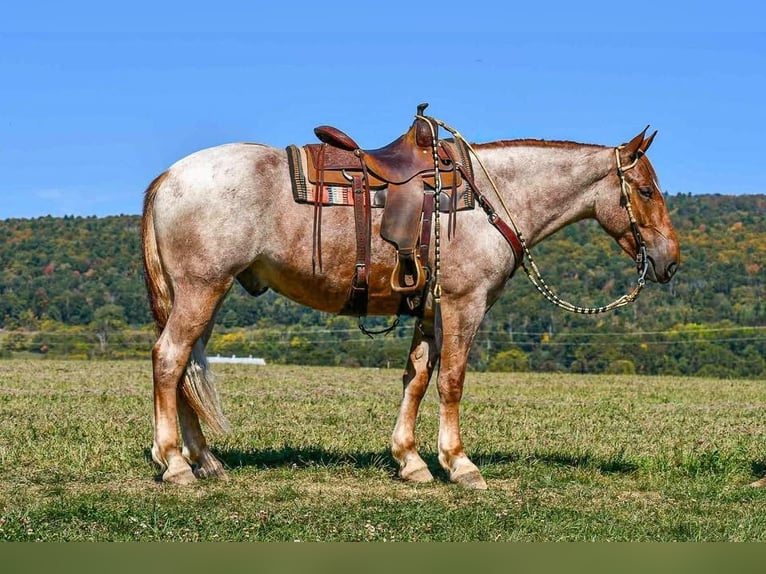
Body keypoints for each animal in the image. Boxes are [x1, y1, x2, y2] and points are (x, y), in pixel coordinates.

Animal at [141, 116, 680, 489]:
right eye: (645, 190)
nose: (669, 261)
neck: (488, 201)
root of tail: (169, 176)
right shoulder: (465, 305)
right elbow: (451, 381)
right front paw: (460, 464)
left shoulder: (428, 310)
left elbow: (417, 378)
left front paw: (411, 460)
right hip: (201, 289)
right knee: (169, 358)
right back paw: (174, 463)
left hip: (205, 294)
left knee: (186, 366)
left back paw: (205, 460)